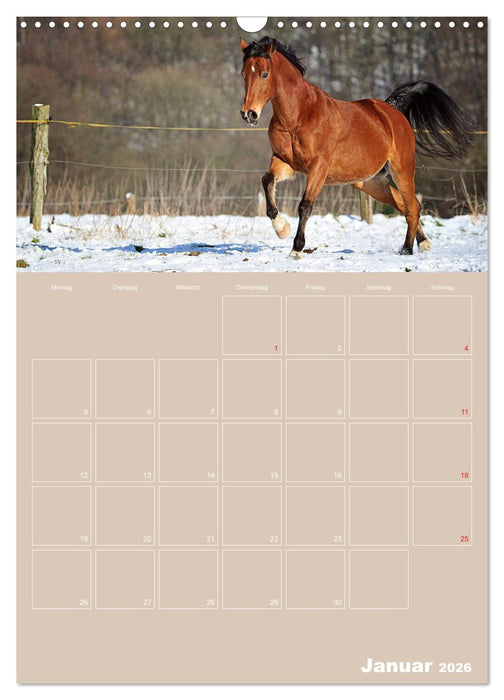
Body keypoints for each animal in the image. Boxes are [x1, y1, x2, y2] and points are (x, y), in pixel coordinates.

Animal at [240, 36, 476, 259]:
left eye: (264, 74)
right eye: (243, 74)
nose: (249, 114)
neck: (298, 116)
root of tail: (391, 110)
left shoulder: (318, 167)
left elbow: (305, 205)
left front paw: (296, 249)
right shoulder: (284, 161)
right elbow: (267, 182)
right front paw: (282, 229)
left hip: (402, 170)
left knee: (411, 206)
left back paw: (407, 249)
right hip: (370, 182)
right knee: (405, 204)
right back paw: (423, 243)